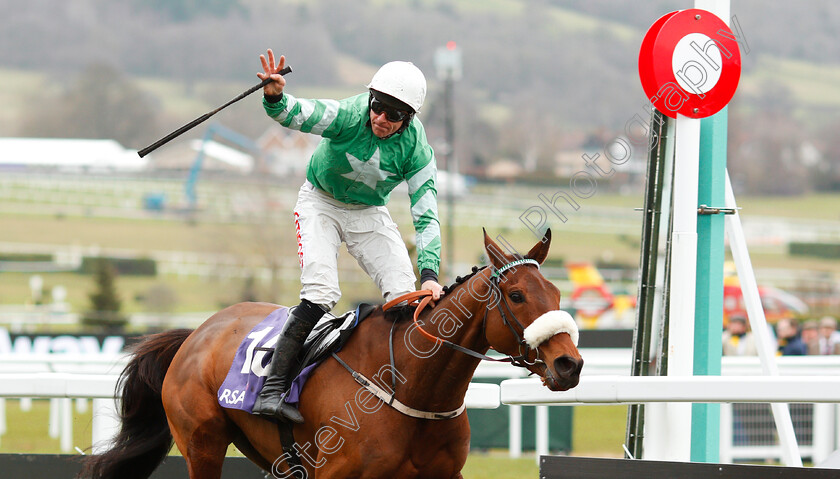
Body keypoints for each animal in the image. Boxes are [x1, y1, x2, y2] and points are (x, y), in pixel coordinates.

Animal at [80, 231, 584, 478]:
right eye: (517, 296)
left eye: (558, 293)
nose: (569, 364)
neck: (413, 391)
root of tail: (197, 333)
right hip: (202, 444)